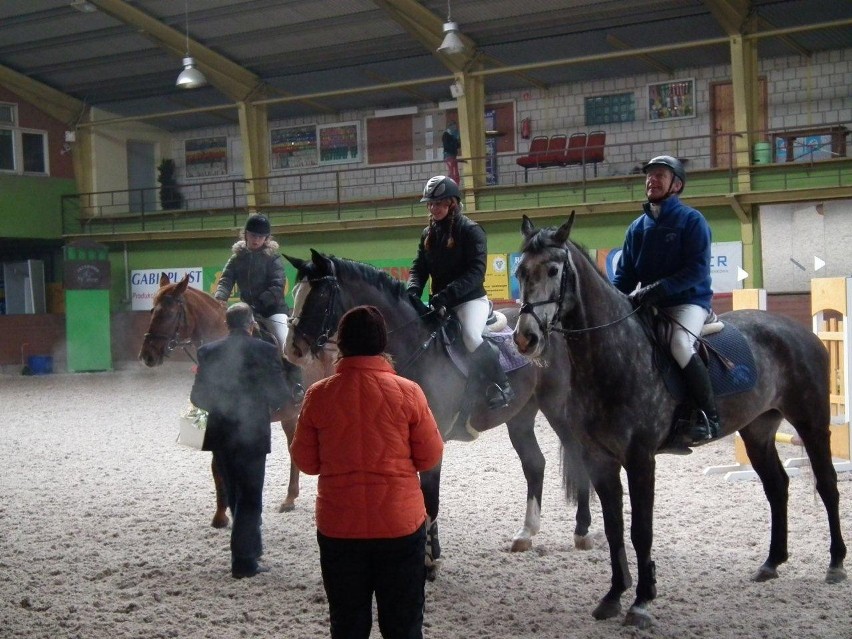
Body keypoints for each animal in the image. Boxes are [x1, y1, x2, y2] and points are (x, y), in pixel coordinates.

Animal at [140, 272, 330, 528]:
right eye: (152, 311)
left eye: (169, 313)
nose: (147, 356)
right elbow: (217, 466)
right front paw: (222, 514)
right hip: (291, 414)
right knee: (293, 449)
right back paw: (290, 498)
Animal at [282, 250, 596, 580]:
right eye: (296, 293)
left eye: (319, 295)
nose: (292, 350)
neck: (415, 347)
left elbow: (429, 499)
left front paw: (430, 562)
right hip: (520, 417)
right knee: (535, 464)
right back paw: (526, 533)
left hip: (557, 409)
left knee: (576, 457)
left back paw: (582, 531)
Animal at [512, 215, 844, 632]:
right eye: (520, 272)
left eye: (554, 270)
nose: (525, 337)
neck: (611, 356)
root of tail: (800, 331)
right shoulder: (600, 459)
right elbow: (614, 528)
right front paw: (613, 596)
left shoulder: (640, 459)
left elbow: (640, 530)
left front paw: (641, 602)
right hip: (757, 430)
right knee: (777, 486)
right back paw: (771, 562)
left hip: (811, 421)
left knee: (827, 483)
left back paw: (835, 564)